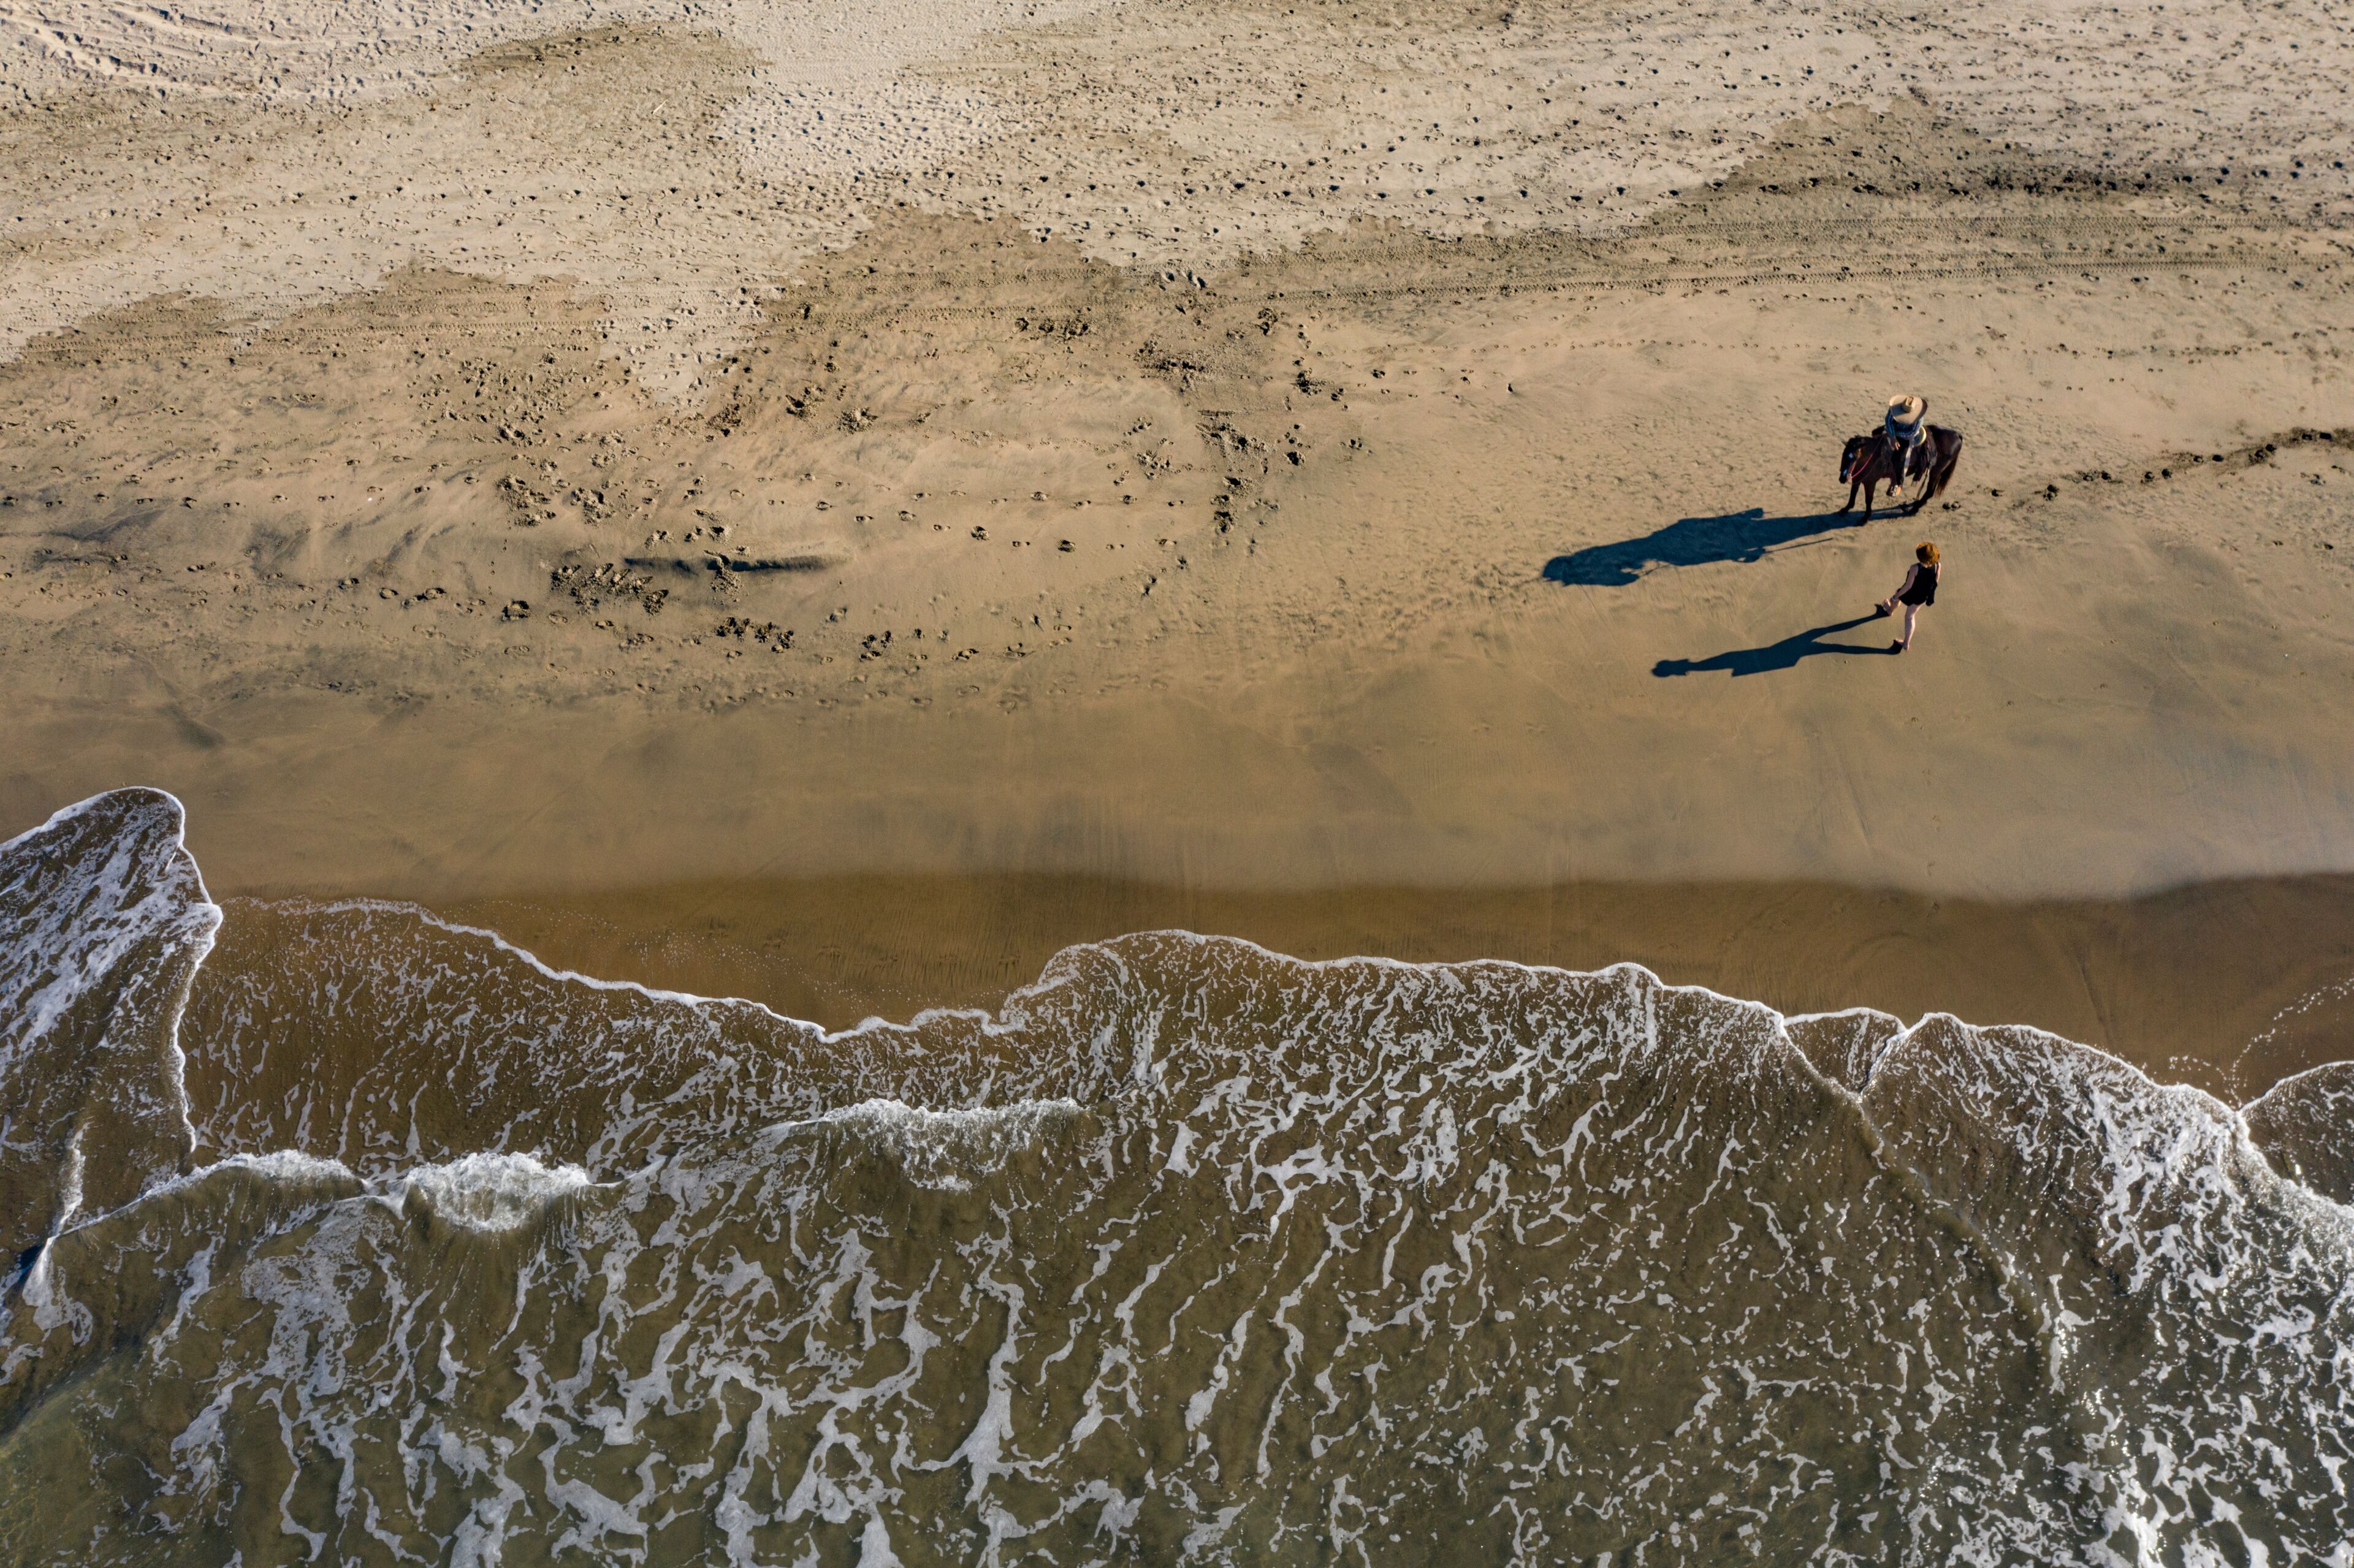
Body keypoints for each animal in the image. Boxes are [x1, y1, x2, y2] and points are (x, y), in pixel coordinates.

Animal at [1839, 425, 1963, 515]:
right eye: (1843, 455)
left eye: (1855, 458)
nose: (1842, 479)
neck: (1874, 455)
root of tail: (1957, 435)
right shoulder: (1859, 478)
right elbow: (1853, 494)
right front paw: (1846, 509)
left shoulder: (1871, 482)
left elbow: (1868, 499)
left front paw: (1865, 518)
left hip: (1936, 471)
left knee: (1930, 491)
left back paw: (1913, 510)